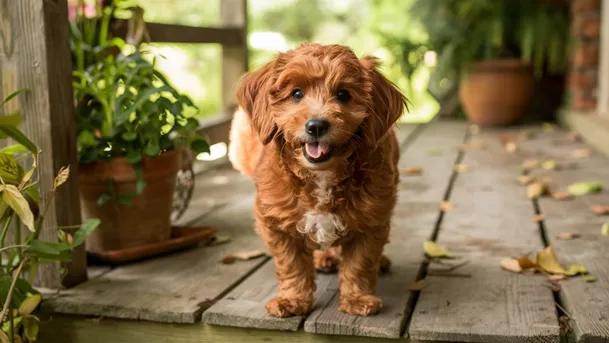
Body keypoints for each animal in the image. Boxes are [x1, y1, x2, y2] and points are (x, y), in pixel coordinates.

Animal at [226, 42, 406, 318]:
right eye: (296, 93)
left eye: (343, 94)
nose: (317, 125)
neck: (322, 176)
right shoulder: (277, 223)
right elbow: (292, 265)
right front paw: (292, 300)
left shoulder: (371, 220)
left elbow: (361, 262)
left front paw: (358, 298)